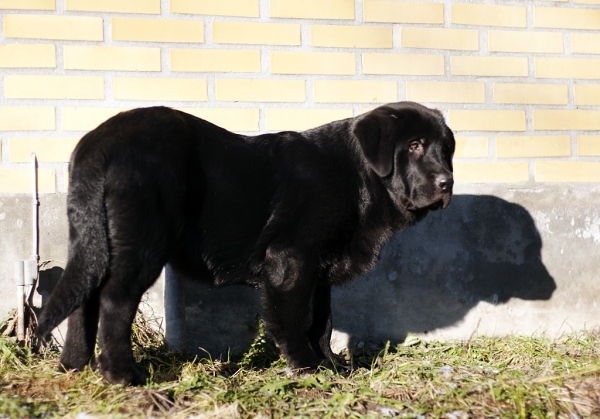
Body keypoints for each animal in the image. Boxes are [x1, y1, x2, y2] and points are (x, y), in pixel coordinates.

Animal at [35, 101, 452, 384]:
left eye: (445, 148)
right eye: (414, 145)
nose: (447, 182)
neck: (357, 176)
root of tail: (99, 141)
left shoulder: (319, 271)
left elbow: (323, 321)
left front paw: (331, 365)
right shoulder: (291, 258)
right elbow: (296, 319)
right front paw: (306, 366)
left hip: (94, 241)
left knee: (85, 297)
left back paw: (73, 365)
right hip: (142, 245)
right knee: (113, 301)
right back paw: (123, 374)